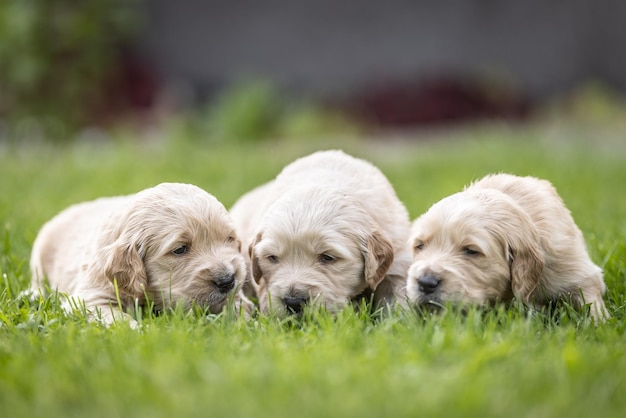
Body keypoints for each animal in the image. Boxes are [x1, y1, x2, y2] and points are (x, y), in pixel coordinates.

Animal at [28, 183, 254, 326]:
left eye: (230, 239)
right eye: (180, 249)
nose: (227, 280)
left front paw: (241, 317)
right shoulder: (90, 298)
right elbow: (116, 318)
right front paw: (137, 330)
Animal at [408, 173, 608, 324]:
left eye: (471, 251)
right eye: (419, 246)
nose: (425, 283)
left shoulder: (574, 268)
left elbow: (589, 299)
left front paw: (599, 325)